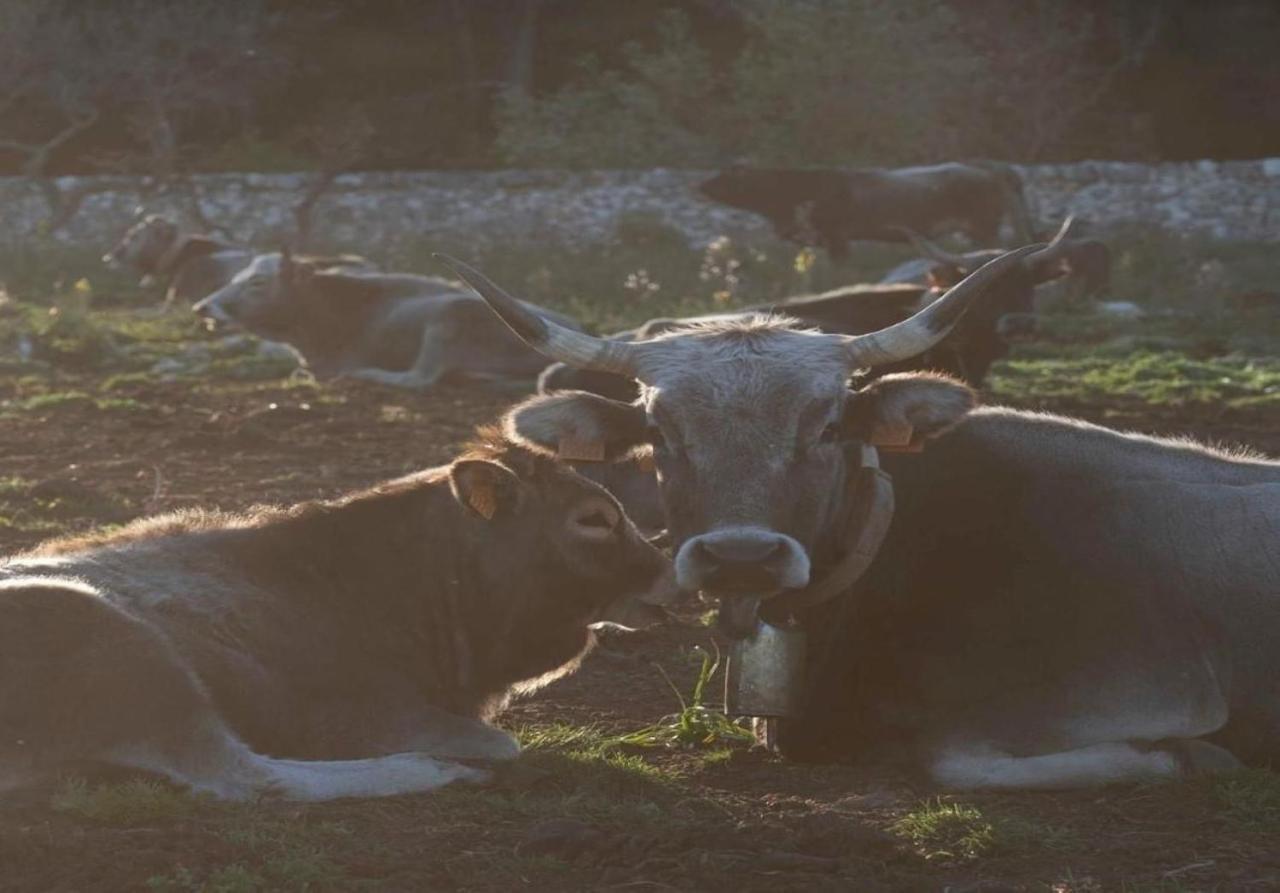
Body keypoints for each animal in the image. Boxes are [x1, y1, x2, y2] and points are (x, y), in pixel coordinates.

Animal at [0, 427, 675, 798]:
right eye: (594, 518)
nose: (670, 574)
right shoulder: (359, 714)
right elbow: (501, 744)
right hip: (129, 652)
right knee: (249, 779)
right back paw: (432, 770)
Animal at [192, 250, 583, 388]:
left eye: (257, 282)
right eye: (236, 276)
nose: (202, 307)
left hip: (446, 319)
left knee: (419, 379)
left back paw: (365, 374)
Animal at [437, 248, 1280, 788]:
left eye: (830, 423)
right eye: (660, 431)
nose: (741, 556)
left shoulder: (1156, 686)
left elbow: (953, 758)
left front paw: (1188, 758)